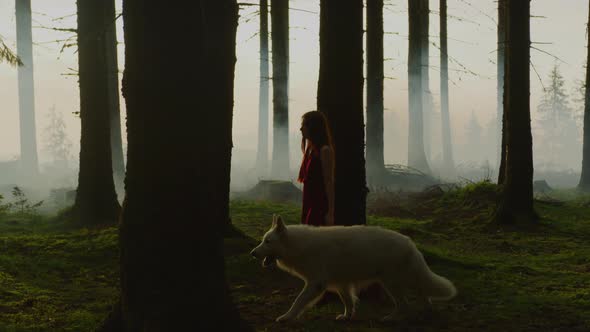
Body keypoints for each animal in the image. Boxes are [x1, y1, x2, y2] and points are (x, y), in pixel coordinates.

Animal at [250, 215, 458, 322]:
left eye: (267, 241)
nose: (252, 253)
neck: (298, 245)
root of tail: (410, 243)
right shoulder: (341, 283)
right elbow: (348, 301)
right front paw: (347, 316)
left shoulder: (316, 283)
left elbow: (298, 301)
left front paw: (286, 317)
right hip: (403, 280)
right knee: (423, 293)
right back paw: (428, 312)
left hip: (391, 283)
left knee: (405, 304)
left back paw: (391, 318)